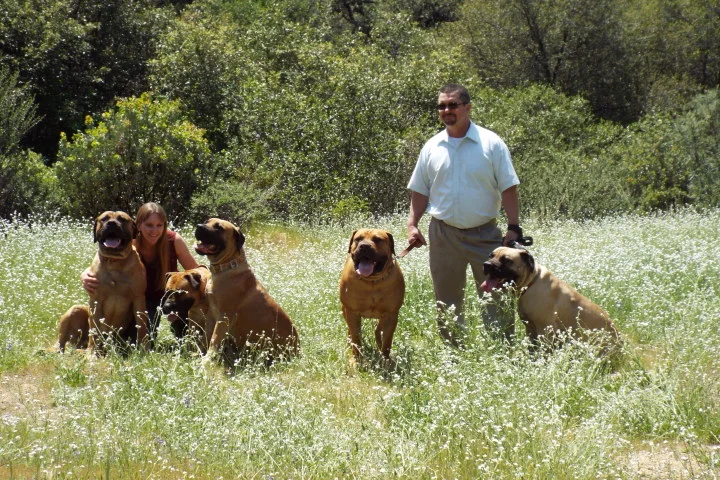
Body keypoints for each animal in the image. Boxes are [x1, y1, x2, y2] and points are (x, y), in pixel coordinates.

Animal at [193, 218, 300, 364]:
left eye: (219, 228)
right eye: (207, 221)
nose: (198, 226)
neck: (227, 266)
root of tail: (299, 351)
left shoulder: (224, 317)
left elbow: (214, 339)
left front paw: (207, 360)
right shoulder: (211, 313)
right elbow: (206, 335)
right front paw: (199, 353)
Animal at [484, 248, 620, 348]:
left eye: (507, 260)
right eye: (490, 256)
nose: (486, 265)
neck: (531, 282)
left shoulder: (545, 331)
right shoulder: (530, 329)